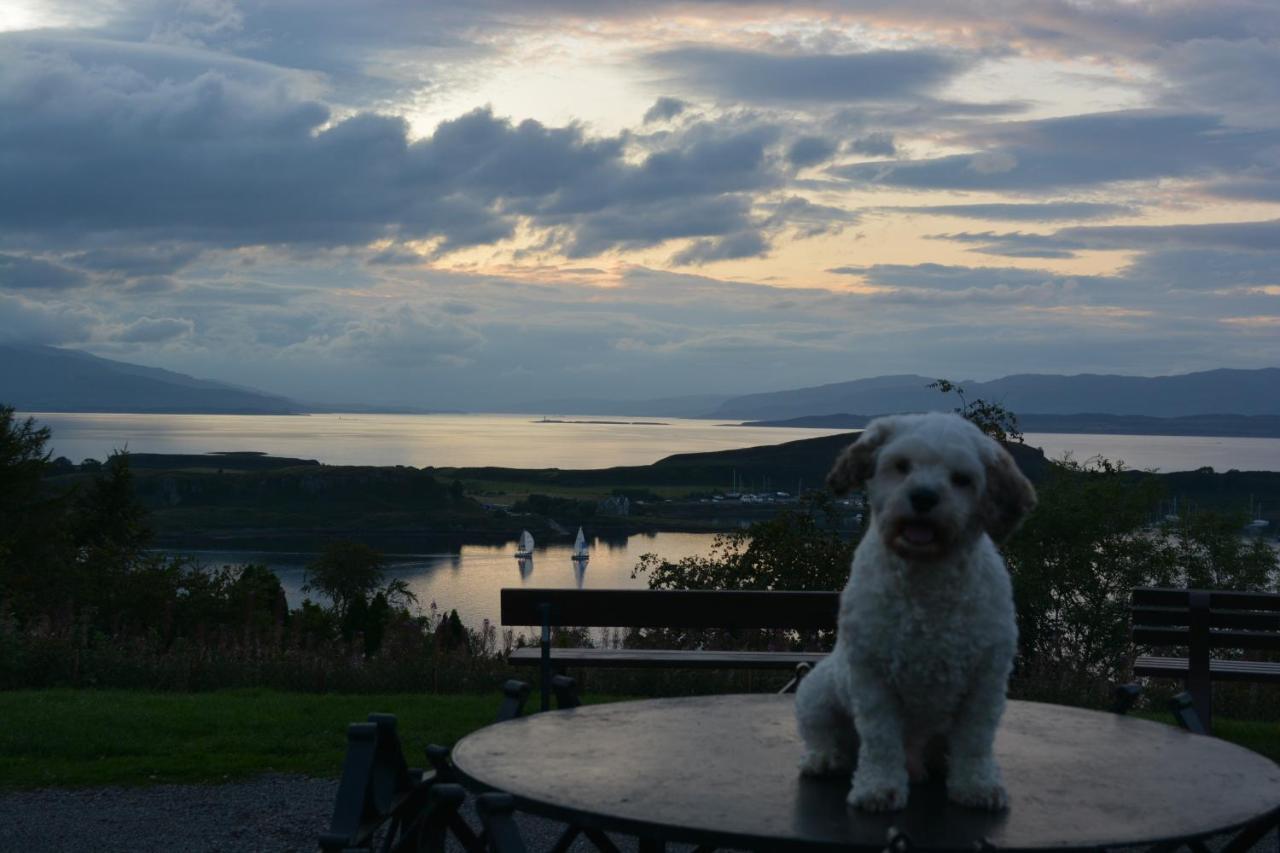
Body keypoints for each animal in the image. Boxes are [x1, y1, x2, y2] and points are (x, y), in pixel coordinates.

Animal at [798, 412, 1039, 809]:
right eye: (901, 465)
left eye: (961, 478)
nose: (923, 497)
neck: (926, 578)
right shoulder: (872, 676)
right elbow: (880, 740)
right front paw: (879, 788)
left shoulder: (986, 679)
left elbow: (975, 740)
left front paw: (976, 785)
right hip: (817, 691)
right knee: (823, 733)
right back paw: (825, 758)